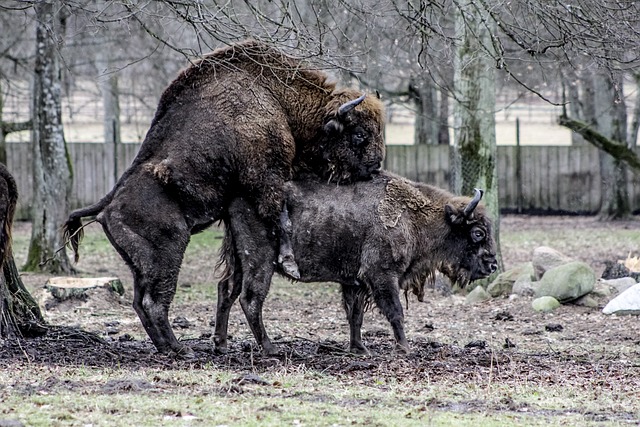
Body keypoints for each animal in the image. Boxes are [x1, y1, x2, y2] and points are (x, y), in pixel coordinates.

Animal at [63, 39, 384, 358]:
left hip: (140, 266)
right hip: (169, 251)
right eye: (359, 134)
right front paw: (289, 259)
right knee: (154, 302)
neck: (278, 98)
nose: (376, 165)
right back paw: (180, 348)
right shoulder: (266, 178)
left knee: (140, 302)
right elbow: (280, 217)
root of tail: (107, 206)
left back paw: (168, 347)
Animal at [215, 172, 500, 356]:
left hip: (239, 262)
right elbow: (395, 311)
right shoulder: (382, 275)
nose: (492, 266)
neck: (413, 216)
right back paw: (270, 348)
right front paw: (405, 348)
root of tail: (234, 198)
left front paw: (359, 349)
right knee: (251, 299)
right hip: (259, 261)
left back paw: (221, 344)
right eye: (477, 233)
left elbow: (355, 315)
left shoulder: (354, 282)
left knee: (226, 291)